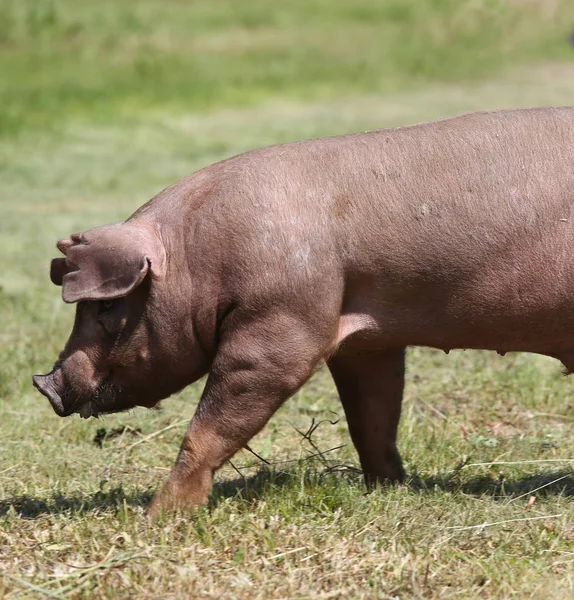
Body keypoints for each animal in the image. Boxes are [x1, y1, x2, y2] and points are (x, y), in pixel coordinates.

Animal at [33, 106, 574, 516]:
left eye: (107, 307)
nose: (45, 384)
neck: (199, 258)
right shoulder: (366, 339)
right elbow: (372, 417)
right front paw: (390, 488)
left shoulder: (282, 326)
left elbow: (210, 426)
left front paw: (158, 519)